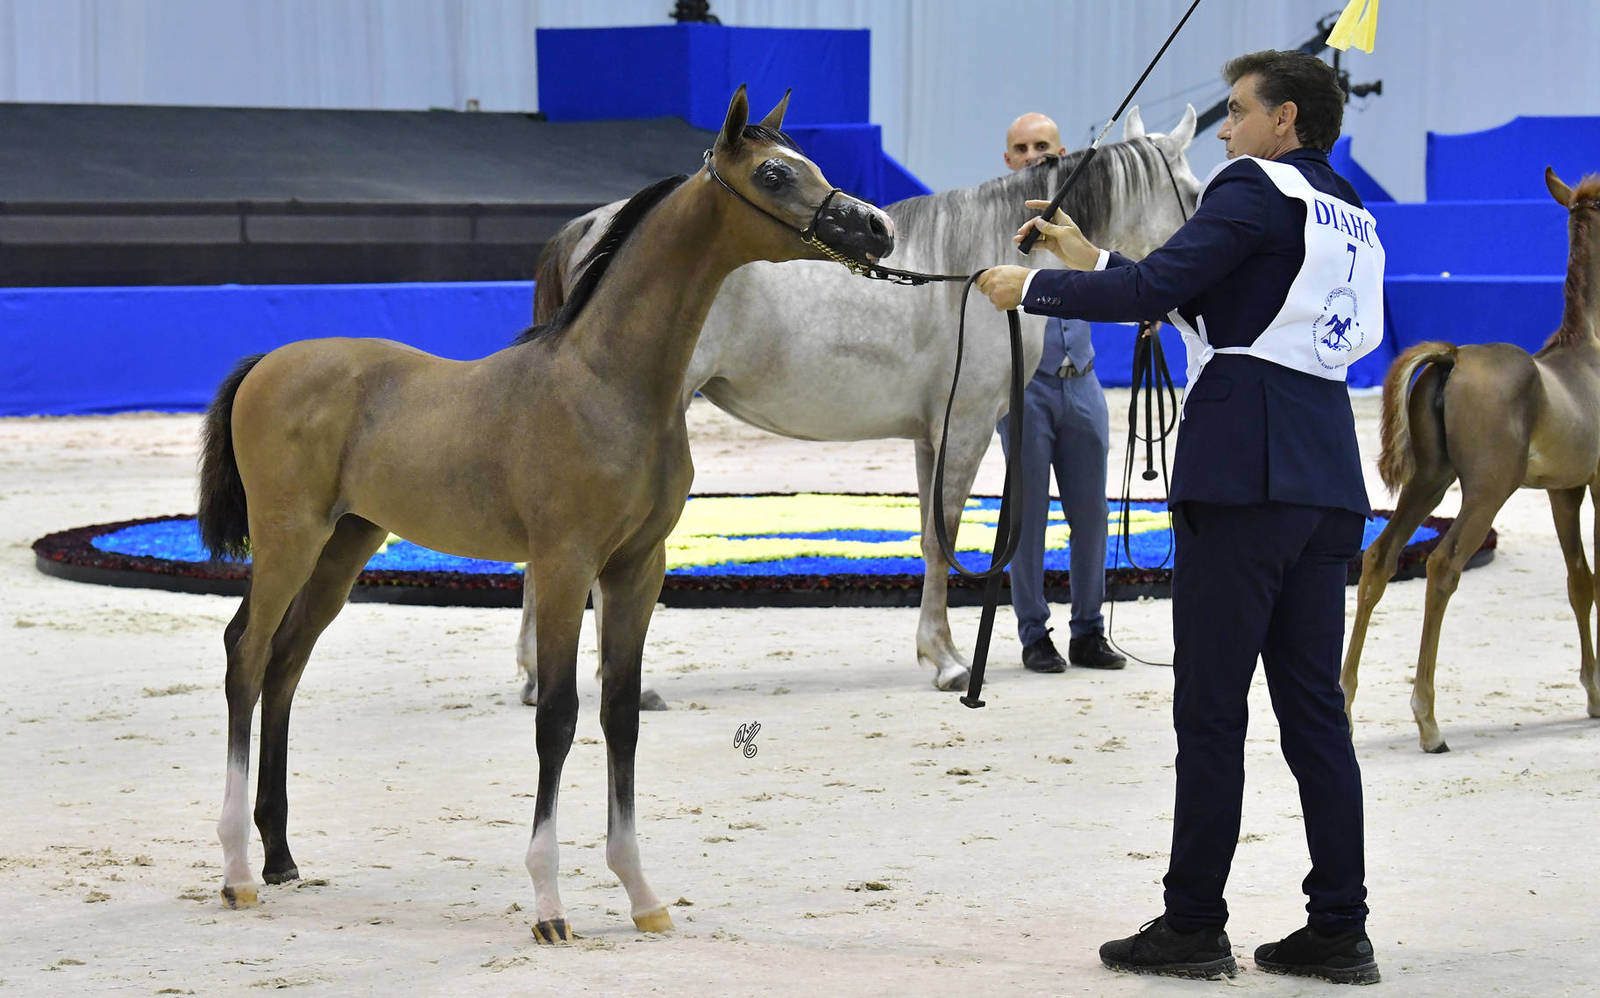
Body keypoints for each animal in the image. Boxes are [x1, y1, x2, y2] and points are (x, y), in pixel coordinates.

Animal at [195, 86, 895, 942]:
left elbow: (620, 713)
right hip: (289, 537)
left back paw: (281, 857)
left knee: (286, 664)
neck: (609, 384)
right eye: (772, 173)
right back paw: (236, 872)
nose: (875, 227)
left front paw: (642, 895)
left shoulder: (637, 569)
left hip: (347, 544)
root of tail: (270, 361)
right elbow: (557, 716)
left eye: (812, 162)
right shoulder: (565, 565)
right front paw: (551, 906)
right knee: (245, 653)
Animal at [530, 105, 1199, 700]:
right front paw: (949, 663)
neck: (970, 268)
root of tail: (585, 227)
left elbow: (931, 536)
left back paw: (538, 679)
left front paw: (938, 652)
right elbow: (942, 541)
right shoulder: (966, 427)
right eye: (1193, 192)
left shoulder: (933, 436)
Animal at [1342, 167, 1600, 753]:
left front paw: (1595, 695)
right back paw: (1428, 722)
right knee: (1442, 566)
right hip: (1485, 492)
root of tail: (1455, 356)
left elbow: (1579, 581)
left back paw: (1342, 705)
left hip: (1429, 485)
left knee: (1379, 559)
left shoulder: (1565, 491)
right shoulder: (1598, 484)